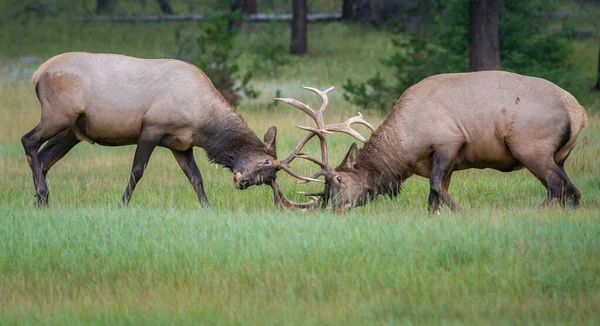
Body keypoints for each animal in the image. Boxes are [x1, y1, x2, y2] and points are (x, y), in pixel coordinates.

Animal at [22, 52, 284, 206]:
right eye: (266, 163)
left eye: (270, 177)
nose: (243, 183)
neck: (201, 122)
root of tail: (37, 74)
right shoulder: (151, 127)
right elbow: (137, 170)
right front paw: (122, 204)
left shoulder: (181, 145)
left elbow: (196, 177)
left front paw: (207, 207)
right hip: (58, 115)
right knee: (28, 140)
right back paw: (42, 195)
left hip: (73, 130)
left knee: (44, 159)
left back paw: (39, 202)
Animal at [280, 71, 584, 211]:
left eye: (339, 179)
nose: (336, 208)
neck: (406, 148)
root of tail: (579, 113)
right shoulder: (446, 161)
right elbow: (433, 198)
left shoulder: (448, 142)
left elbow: (436, 187)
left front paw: (460, 211)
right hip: (559, 156)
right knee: (572, 190)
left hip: (531, 147)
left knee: (557, 187)